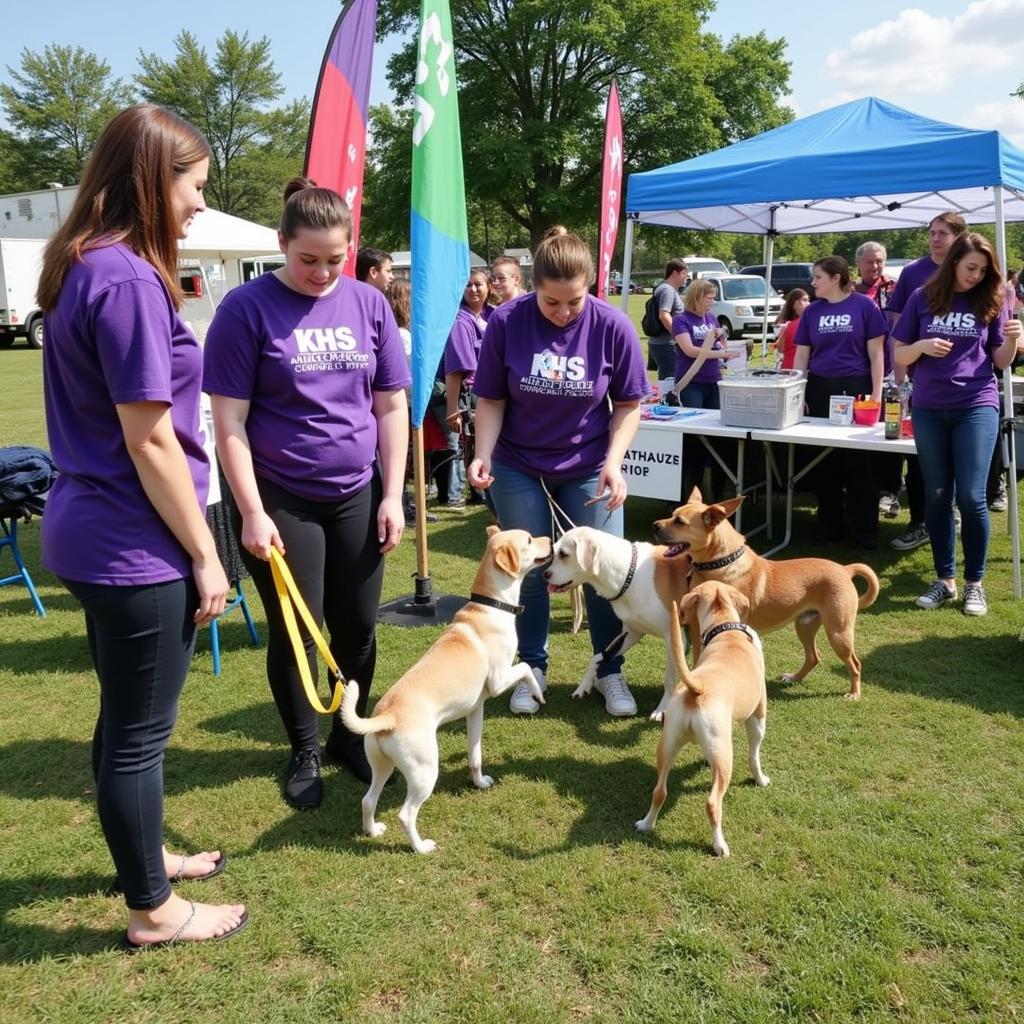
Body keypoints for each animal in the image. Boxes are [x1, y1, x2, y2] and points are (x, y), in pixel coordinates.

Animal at [342, 528, 552, 856]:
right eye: (529, 540)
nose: (551, 540)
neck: (491, 606)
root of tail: (387, 716)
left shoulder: (475, 710)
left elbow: (475, 755)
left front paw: (479, 783)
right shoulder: (499, 679)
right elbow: (527, 667)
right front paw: (537, 695)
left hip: (381, 765)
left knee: (368, 799)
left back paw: (372, 830)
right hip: (425, 769)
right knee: (406, 814)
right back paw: (420, 847)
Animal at [540, 528, 692, 720]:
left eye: (564, 554)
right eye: (554, 551)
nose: (544, 575)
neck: (629, 574)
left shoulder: (674, 638)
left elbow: (670, 677)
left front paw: (662, 709)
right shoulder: (632, 632)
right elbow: (597, 657)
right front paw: (584, 686)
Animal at [630, 585, 770, 856]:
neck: (726, 630)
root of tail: (698, 688)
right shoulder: (758, 715)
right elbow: (754, 756)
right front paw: (761, 780)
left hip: (668, 742)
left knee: (659, 791)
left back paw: (646, 824)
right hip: (725, 757)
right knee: (713, 803)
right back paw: (720, 846)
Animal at [655, 485, 880, 696]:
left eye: (679, 521)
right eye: (673, 513)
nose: (654, 525)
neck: (720, 563)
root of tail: (845, 569)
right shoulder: (696, 627)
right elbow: (697, 660)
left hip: (838, 633)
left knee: (855, 664)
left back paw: (854, 693)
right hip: (805, 624)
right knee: (814, 657)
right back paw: (794, 677)